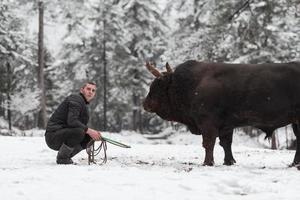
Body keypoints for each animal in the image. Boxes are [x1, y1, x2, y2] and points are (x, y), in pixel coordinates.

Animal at [142, 59, 300, 167]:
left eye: (157, 85)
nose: (145, 104)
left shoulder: (207, 123)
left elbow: (209, 143)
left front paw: (207, 162)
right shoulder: (226, 125)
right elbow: (226, 143)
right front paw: (228, 161)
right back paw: (294, 164)